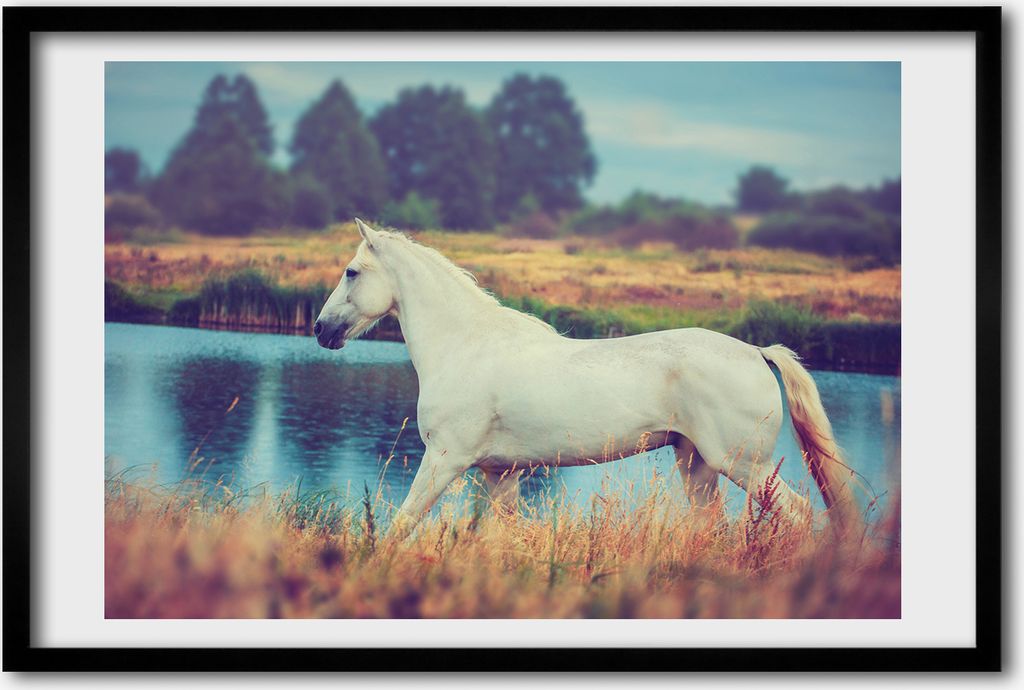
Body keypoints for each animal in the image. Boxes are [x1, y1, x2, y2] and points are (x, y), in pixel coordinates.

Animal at [314, 219, 861, 537]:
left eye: (351, 272)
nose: (321, 329)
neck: (466, 346)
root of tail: (757, 352)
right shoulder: (498, 474)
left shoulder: (445, 460)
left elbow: (399, 528)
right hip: (698, 465)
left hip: (744, 464)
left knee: (799, 514)